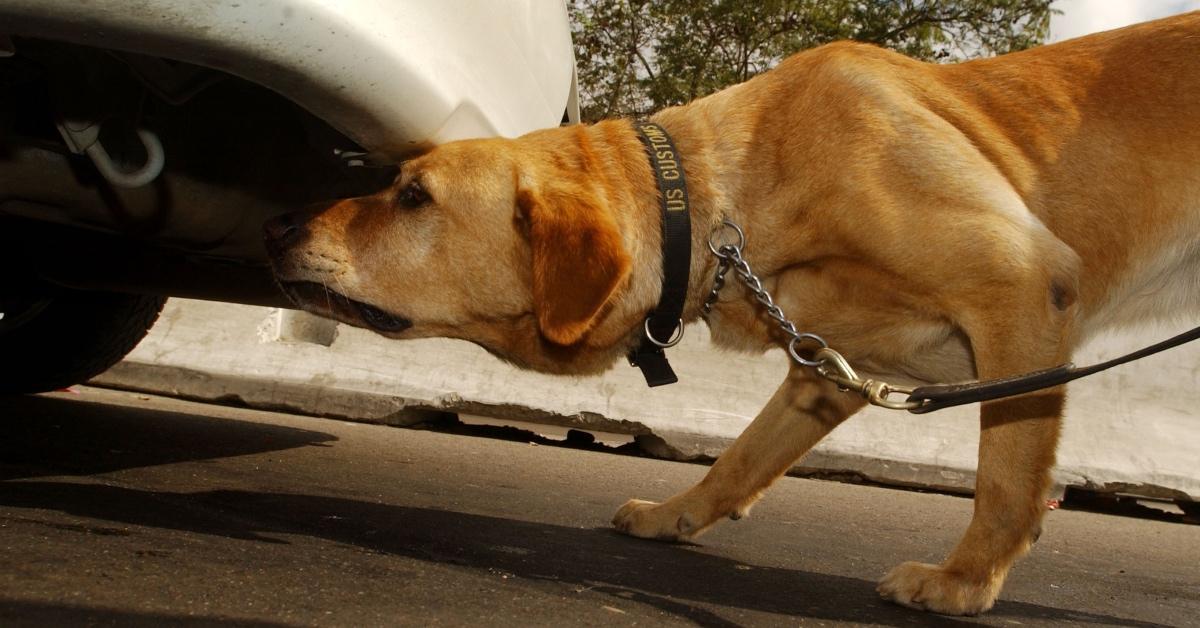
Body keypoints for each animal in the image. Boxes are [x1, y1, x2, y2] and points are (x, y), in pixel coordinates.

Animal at [267, 14, 1195, 619]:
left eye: (413, 196)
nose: (281, 225)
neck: (734, 194)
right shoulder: (829, 370)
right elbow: (741, 459)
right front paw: (675, 517)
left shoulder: (1024, 287)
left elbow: (1006, 479)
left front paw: (966, 583)